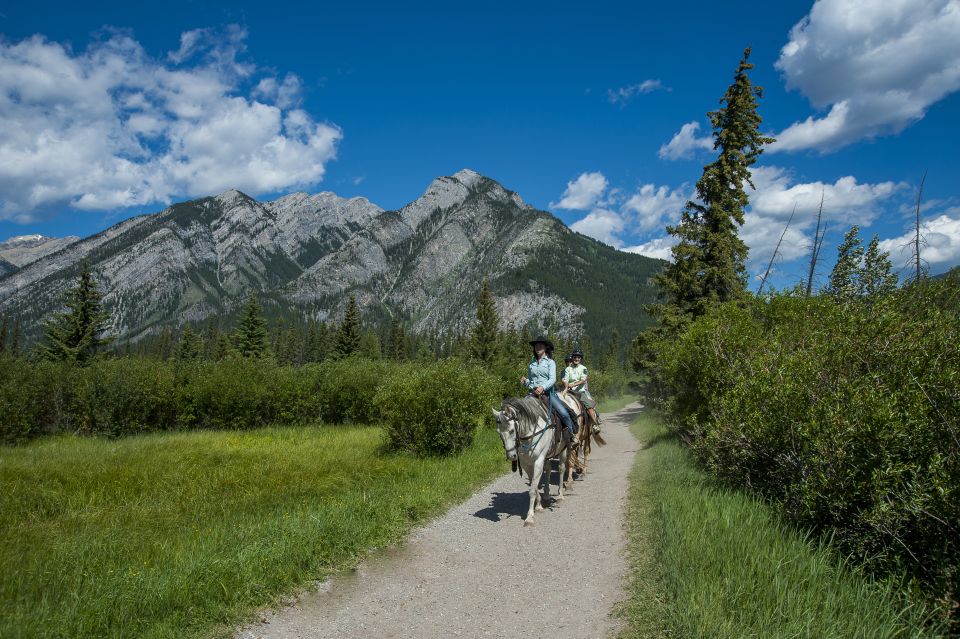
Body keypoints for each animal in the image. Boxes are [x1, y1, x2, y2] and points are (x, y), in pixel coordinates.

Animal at [492, 398, 572, 528]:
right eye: (499, 432)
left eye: (512, 430)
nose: (511, 456)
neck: (530, 434)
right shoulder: (527, 464)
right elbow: (534, 486)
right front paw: (539, 506)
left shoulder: (538, 461)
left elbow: (532, 490)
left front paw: (529, 518)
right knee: (548, 470)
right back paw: (546, 496)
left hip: (563, 450)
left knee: (561, 469)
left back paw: (560, 495)